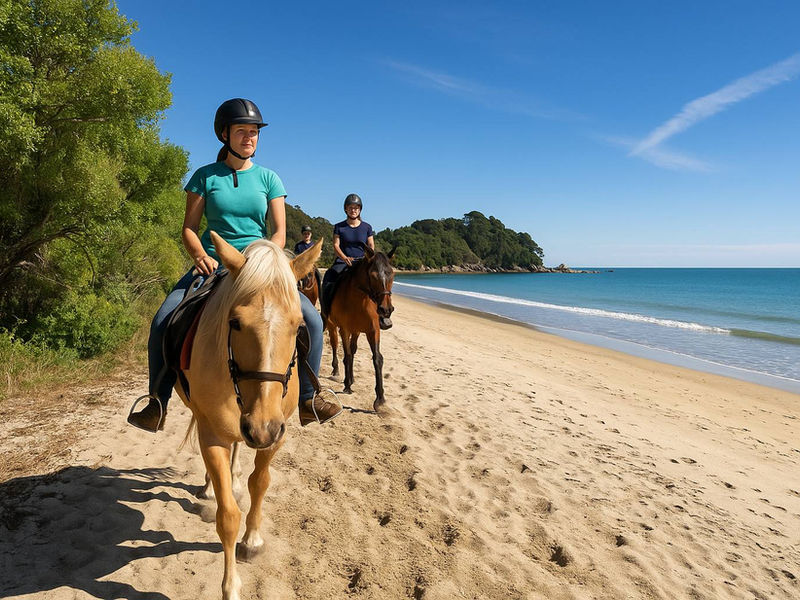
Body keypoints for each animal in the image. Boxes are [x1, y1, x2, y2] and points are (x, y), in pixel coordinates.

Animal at [175, 231, 322, 600]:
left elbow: (260, 483)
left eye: (299, 325)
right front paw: (231, 587)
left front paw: (253, 539)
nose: (262, 427)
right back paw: (211, 488)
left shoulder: (276, 433)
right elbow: (227, 516)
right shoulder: (213, 435)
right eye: (235, 323)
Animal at [323, 245, 395, 412]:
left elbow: (377, 358)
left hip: (356, 332)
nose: (386, 310)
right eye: (373, 275)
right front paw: (347, 385)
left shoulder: (373, 331)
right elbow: (347, 355)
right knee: (335, 345)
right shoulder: (344, 329)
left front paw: (380, 400)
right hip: (331, 325)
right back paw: (337, 372)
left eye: (392, 274)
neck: (359, 299)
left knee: (353, 349)